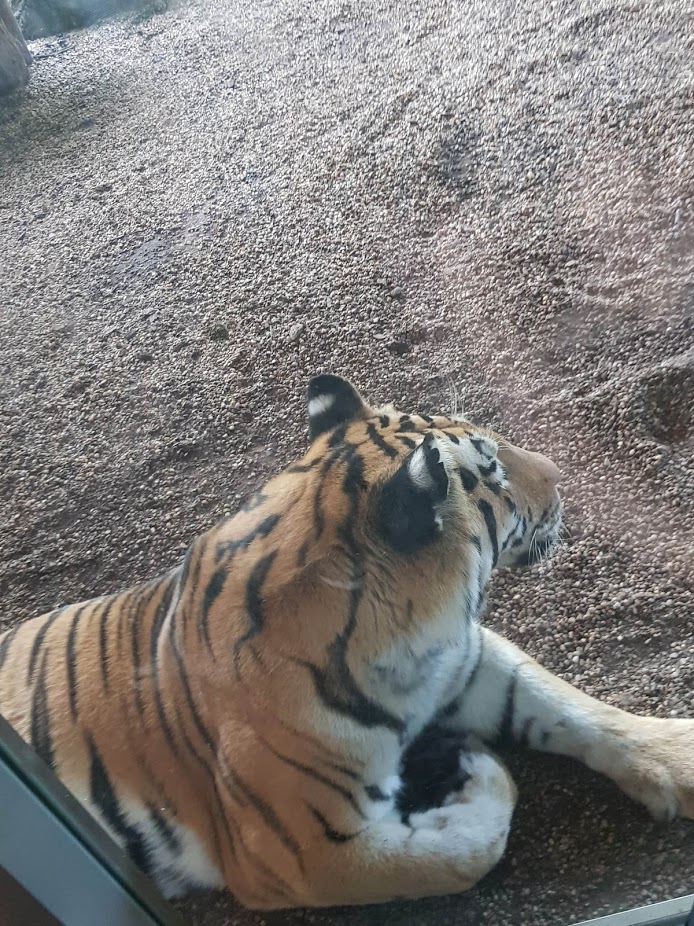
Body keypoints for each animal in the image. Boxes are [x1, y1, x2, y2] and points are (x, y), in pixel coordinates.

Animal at [0, 373, 692, 910]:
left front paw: (676, 756)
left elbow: (572, 707)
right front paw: (475, 775)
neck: (409, 646)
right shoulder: (302, 854)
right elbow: (465, 851)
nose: (559, 475)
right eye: (493, 470)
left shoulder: (467, 662)